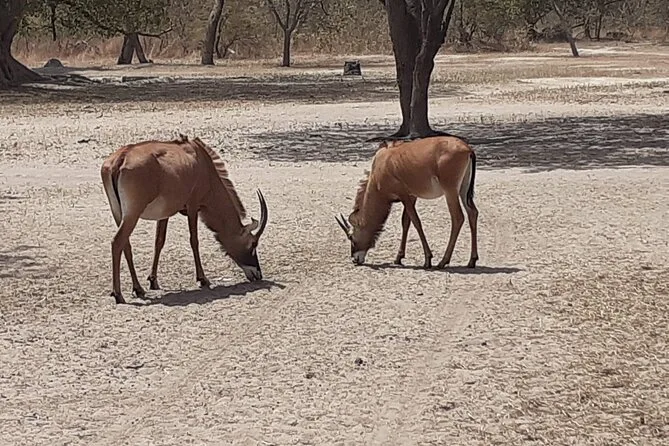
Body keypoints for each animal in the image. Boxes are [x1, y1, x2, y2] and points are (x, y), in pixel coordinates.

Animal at [100, 135, 268, 304]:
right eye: (253, 243)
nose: (257, 274)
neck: (203, 163)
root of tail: (121, 158)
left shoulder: (164, 214)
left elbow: (159, 242)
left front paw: (153, 281)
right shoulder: (193, 206)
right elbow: (194, 241)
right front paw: (203, 279)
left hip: (118, 213)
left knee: (126, 245)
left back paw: (138, 288)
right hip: (132, 213)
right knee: (117, 242)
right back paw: (118, 294)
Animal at [335, 136, 478, 269]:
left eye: (351, 237)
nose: (355, 259)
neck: (380, 167)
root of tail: (468, 149)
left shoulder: (404, 195)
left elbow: (416, 222)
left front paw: (427, 259)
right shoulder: (412, 196)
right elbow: (406, 222)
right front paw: (398, 257)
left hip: (450, 191)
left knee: (458, 217)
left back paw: (443, 262)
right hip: (463, 190)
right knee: (473, 213)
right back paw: (472, 260)